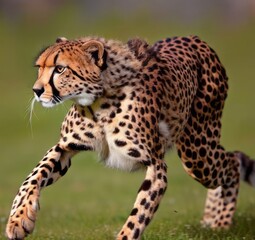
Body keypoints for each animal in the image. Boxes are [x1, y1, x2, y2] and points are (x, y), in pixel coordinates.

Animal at [4, 34, 255, 239]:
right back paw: (210, 221)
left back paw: (221, 222)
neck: (96, 105)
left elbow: (138, 215)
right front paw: (19, 220)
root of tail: (194, 39)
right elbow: (33, 176)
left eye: (60, 69)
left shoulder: (156, 165)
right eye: (40, 67)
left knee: (233, 161)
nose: (37, 90)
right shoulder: (65, 147)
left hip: (196, 150)